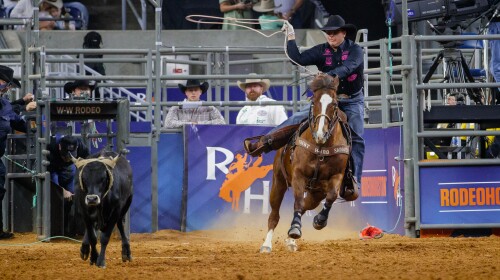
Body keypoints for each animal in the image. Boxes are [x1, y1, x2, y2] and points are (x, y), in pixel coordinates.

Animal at [260, 73, 350, 253]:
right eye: (313, 102)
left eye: (334, 104)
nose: (321, 133)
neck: (321, 146)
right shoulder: (298, 176)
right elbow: (298, 201)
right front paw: (295, 229)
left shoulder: (336, 176)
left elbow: (331, 196)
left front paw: (319, 221)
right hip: (278, 182)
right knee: (275, 214)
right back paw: (267, 244)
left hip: (316, 194)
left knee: (305, 207)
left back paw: (291, 241)